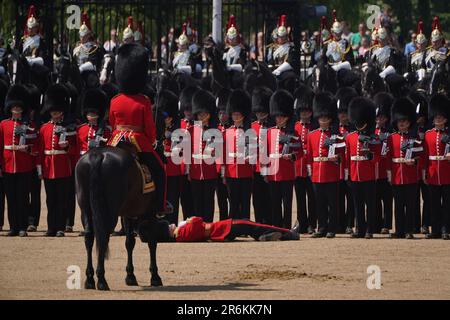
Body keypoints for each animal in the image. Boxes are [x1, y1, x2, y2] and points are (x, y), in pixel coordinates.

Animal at [75, 146, 167, 292]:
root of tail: (98, 155)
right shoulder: (151, 214)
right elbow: (152, 243)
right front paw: (155, 277)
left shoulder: (127, 214)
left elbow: (129, 243)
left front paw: (130, 276)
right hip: (109, 211)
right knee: (103, 237)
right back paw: (101, 280)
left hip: (85, 209)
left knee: (89, 236)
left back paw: (90, 280)